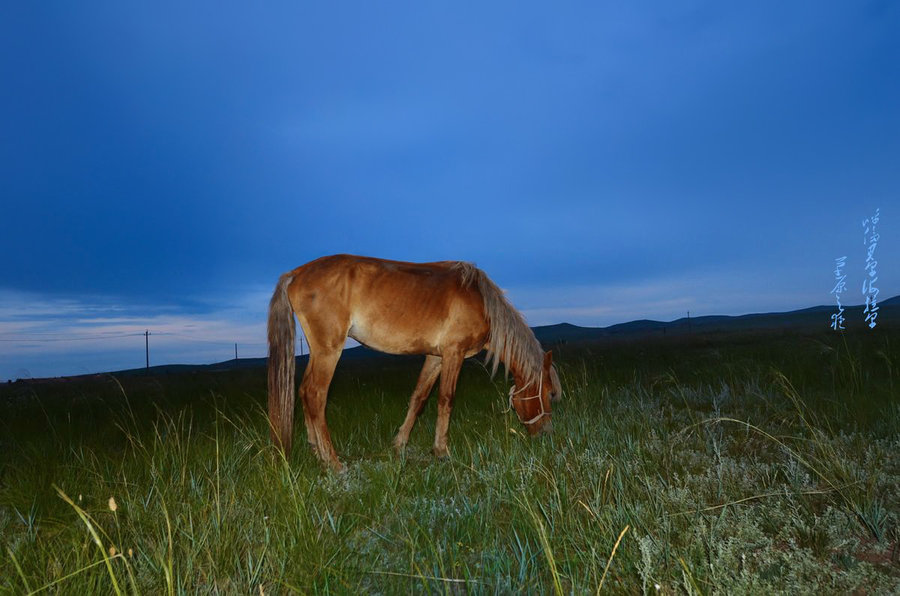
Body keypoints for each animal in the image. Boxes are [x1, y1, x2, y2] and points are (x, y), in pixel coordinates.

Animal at [268, 254, 564, 472]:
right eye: (550, 393)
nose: (547, 434)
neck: (481, 301)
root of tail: (296, 272)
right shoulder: (454, 353)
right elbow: (446, 400)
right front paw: (441, 451)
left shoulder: (436, 357)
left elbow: (419, 398)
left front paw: (399, 444)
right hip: (329, 350)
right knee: (315, 395)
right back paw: (333, 462)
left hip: (318, 351)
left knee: (304, 392)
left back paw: (316, 451)